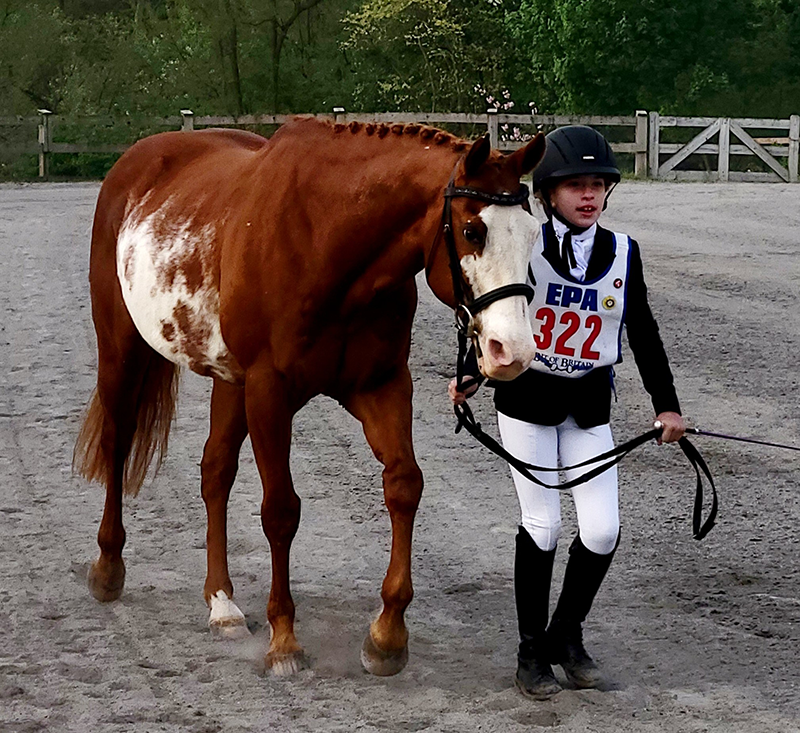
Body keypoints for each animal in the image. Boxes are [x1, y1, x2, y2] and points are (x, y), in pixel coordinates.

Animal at [75, 116, 544, 676]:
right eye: (474, 230)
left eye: (535, 235)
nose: (511, 350)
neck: (325, 240)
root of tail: (135, 163)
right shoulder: (269, 392)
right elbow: (281, 511)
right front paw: (284, 638)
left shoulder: (380, 385)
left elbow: (404, 485)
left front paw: (387, 635)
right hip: (122, 352)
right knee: (118, 443)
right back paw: (108, 566)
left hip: (228, 382)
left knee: (215, 472)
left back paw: (222, 604)